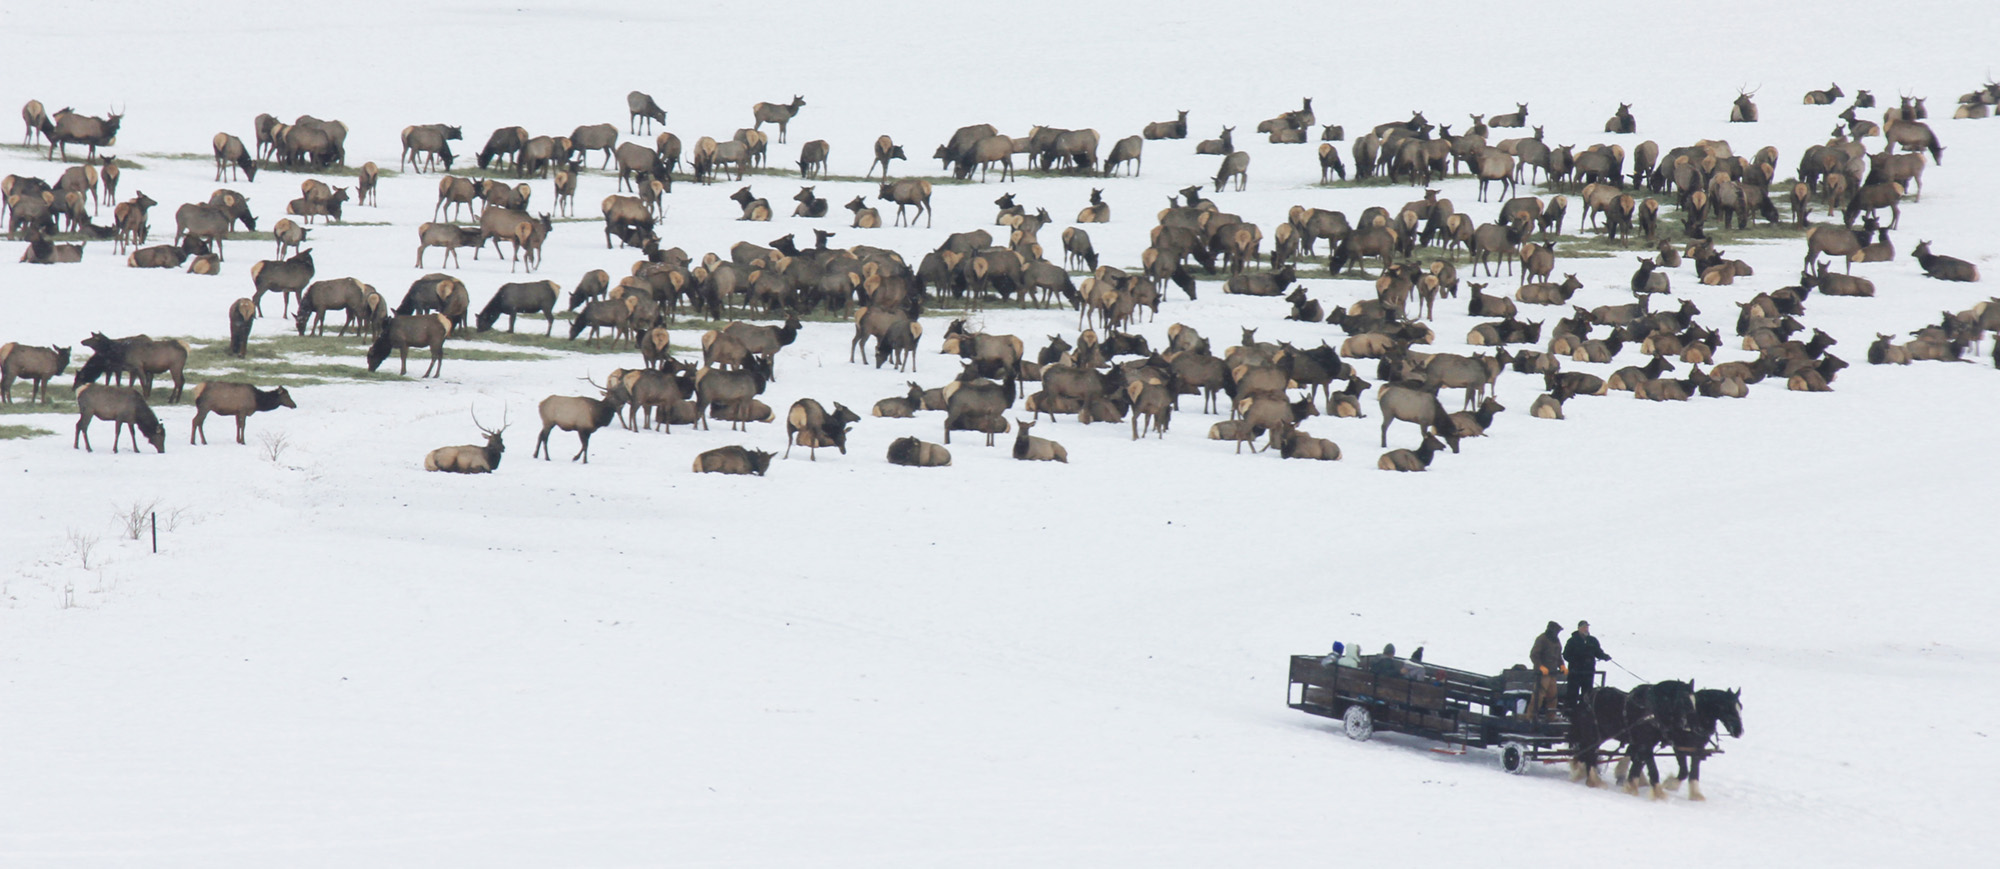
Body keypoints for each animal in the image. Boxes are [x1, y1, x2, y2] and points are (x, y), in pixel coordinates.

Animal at [1568, 680, 1696, 796]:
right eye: (1682, 700)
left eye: (1693, 702)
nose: (1687, 727)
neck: (1651, 710)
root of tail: (1584, 700)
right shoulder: (1645, 745)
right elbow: (1653, 771)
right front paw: (1659, 795)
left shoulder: (1644, 746)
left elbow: (1636, 768)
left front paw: (1630, 789)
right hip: (1592, 736)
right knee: (1589, 756)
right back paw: (1594, 781)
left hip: (1598, 736)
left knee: (1587, 754)